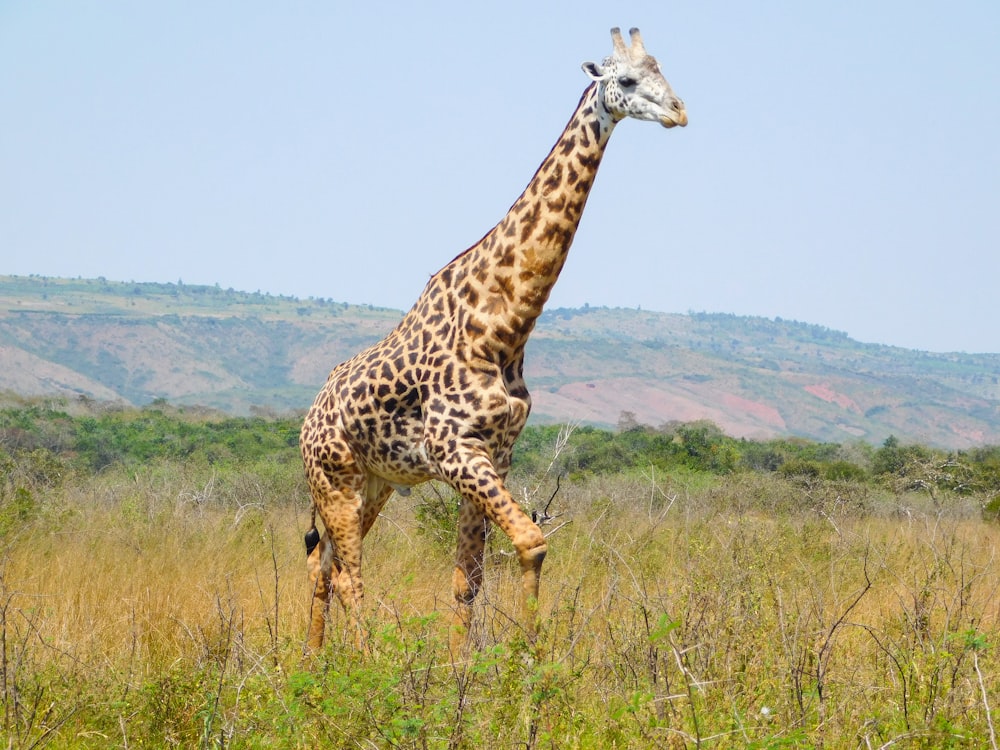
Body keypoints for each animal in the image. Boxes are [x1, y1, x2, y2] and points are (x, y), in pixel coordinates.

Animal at [298, 27, 688, 652]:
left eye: (664, 71)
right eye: (627, 80)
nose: (679, 111)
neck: (504, 328)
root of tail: (306, 420)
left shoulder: (495, 455)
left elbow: (468, 579)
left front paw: (471, 666)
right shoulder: (454, 448)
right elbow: (532, 542)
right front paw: (528, 658)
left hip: (373, 482)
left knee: (324, 564)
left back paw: (312, 660)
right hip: (334, 478)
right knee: (349, 573)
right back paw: (359, 661)